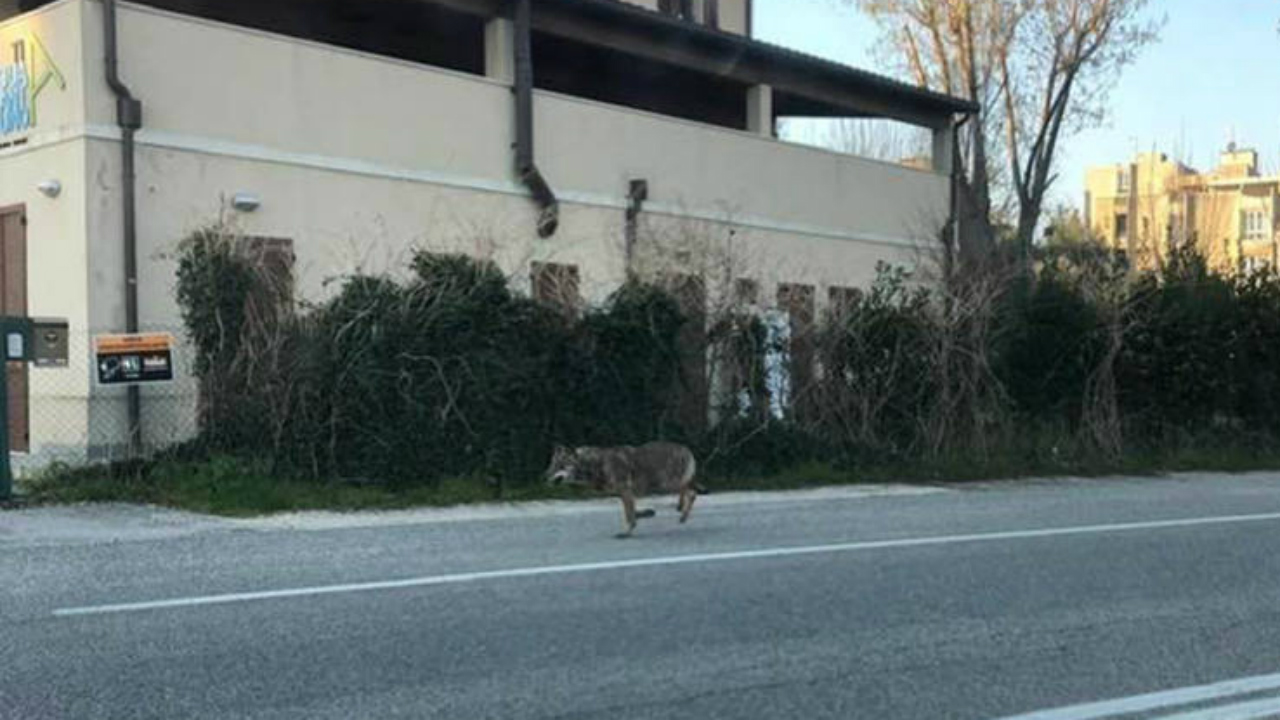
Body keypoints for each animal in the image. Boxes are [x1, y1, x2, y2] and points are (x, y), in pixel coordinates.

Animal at [547, 440, 706, 535]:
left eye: (560, 466)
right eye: (551, 465)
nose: (545, 477)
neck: (595, 465)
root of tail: (687, 449)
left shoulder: (626, 491)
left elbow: (629, 515)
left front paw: (627, 533)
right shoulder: (625, 494)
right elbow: (632, 512)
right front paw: (645, 514)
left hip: (667, 484)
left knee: (692, 493)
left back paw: (683, 515)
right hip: (668, 484)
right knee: (688, 491)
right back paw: (680, 510)